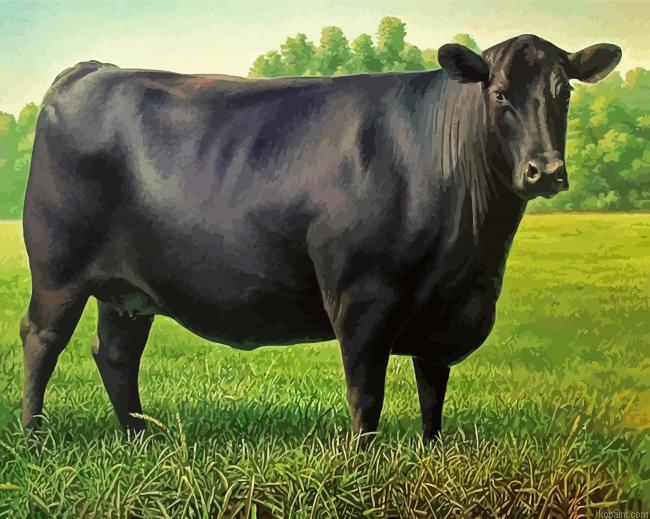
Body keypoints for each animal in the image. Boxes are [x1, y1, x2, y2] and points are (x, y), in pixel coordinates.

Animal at [20, 34, 621, 443]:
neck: (475, 248)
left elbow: (433, 390)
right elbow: (366, 392)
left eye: (564, 93)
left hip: (127, 290)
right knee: (41, 339)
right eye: (498, 95)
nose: (546, 171)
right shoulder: (360, 295)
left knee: (116, 352)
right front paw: (363, 462)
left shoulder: (448, 308)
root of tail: (93, 69)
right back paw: (34, 437)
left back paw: (140, 437)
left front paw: (432, 453)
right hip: (57, 269)